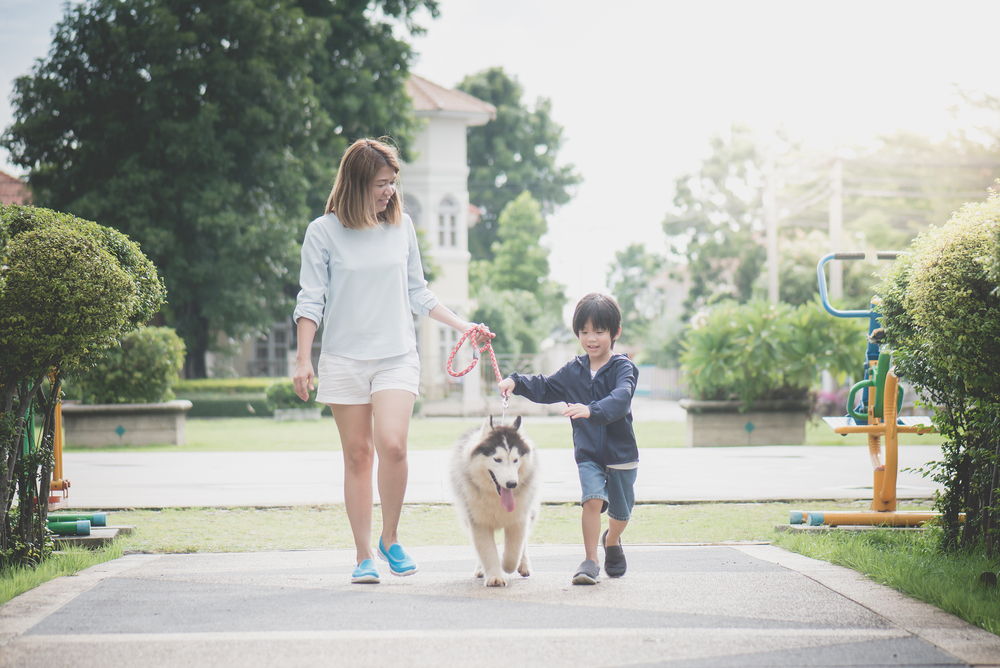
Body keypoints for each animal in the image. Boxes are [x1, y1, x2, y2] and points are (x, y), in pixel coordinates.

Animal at [450, 418, 540, 588]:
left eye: (515, 460)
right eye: (497, 459)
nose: (512, 484)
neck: (496, 498)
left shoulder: (519, 518)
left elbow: (514, 552)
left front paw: (506, 563)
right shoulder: (477, 520)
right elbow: (486, 549)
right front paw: (495, 577)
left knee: (524, 543)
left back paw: (524, 565)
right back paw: (480, 569)